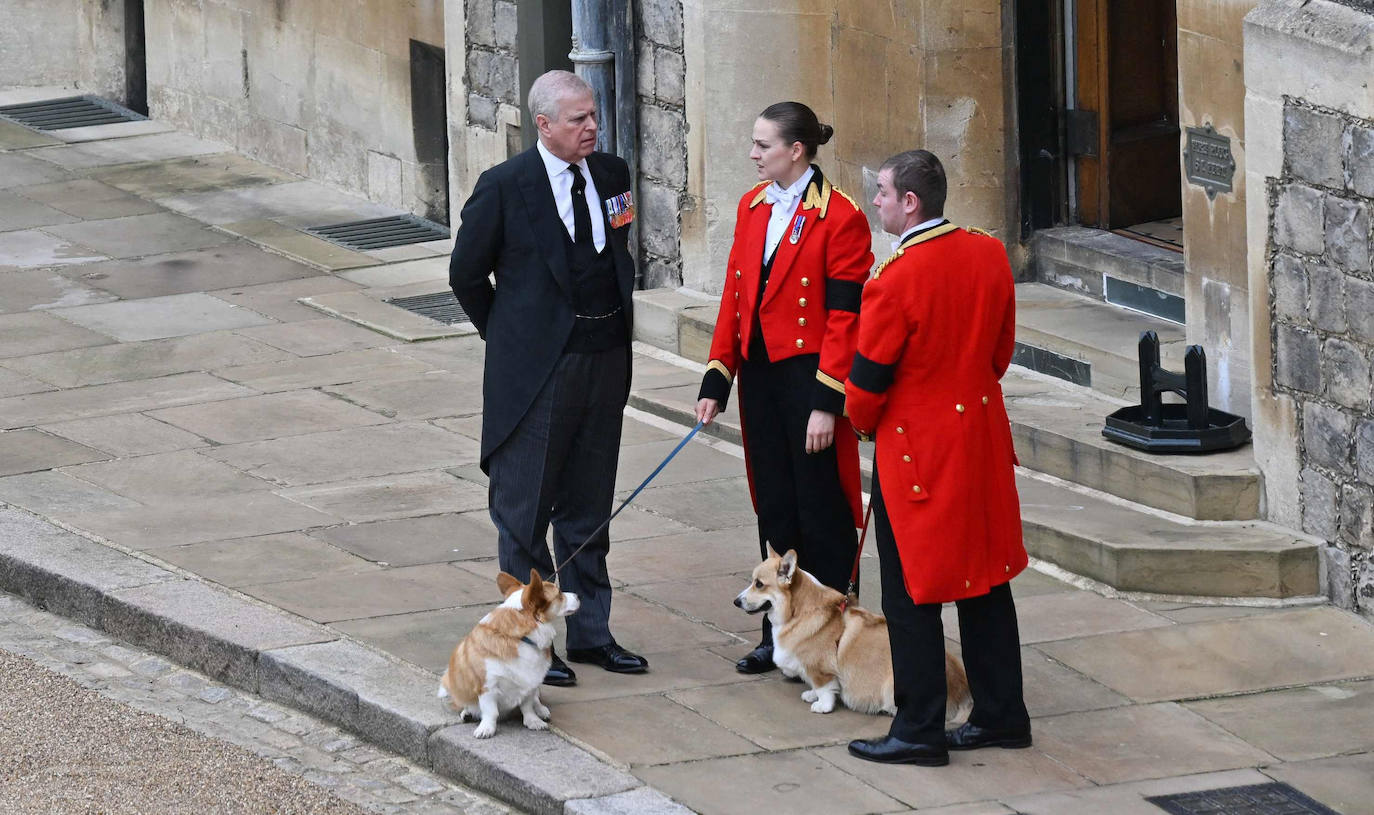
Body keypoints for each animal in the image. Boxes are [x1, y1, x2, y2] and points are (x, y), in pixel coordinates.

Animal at [439, 571, 579, 736]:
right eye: (559, 595)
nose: (578, 595)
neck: (520, 638)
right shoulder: (487, 686)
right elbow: (490, 711)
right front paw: (487, 728)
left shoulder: (530, 683)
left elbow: (527, 705)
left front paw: (533, 721)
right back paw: (467, 712)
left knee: (536, 699)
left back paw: (541, 710)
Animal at [736, 546, 972, 720]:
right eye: (753, 582)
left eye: (759, 584)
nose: (736, 602)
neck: (798, 612)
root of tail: (962, 692)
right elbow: (814, 685)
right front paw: (811, 695)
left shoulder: (821, 670)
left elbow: (825, 688)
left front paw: (822, 706)